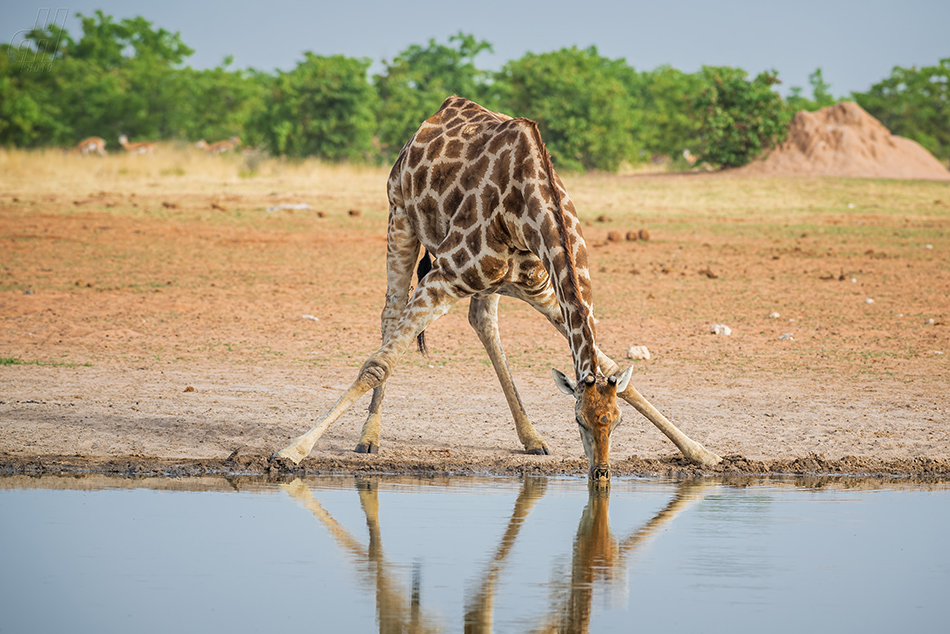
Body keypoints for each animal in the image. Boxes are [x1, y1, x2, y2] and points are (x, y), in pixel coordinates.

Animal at [276, 96, 720, 476]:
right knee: (391, 313)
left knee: (483, 322)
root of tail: (439, 111)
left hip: (491, 283)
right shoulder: (443, 276)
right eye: (577, 419)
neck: (528, 211)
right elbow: (378, 364)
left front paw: (702, 452)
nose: (600, 472)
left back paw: (532, 438)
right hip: (399, 216)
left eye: (616, 421)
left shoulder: (544, 289)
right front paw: (293, 451)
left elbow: (611, 368)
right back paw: (370, 437)